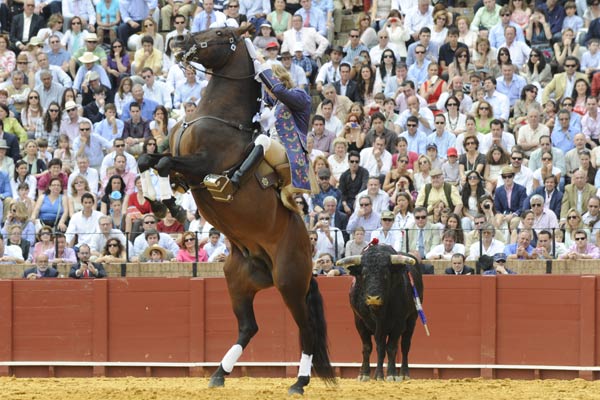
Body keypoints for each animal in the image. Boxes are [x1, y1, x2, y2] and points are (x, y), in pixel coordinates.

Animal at [138, 25, 338, 394]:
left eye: (220, 32)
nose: (178, 39)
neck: (218, 116)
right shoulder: (177, 159)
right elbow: (148, 159)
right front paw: (163, 205)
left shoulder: (201, 164)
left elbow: (164, 163)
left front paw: (173, 205)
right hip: (237, 280)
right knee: (249, 327)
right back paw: (218, 373)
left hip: (289, 281)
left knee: (306, 328)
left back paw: (299, 382)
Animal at [338, 247, 422, 382]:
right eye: (364, 274)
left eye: (386, 275)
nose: (373, 298)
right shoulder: (359, 321)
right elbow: (368, 347)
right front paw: (365, 374)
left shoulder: (398, 323)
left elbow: (391, 347)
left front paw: (391, 374)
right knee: (380, 346)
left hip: (412, 319)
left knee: (404, 345)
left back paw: (404, 374)